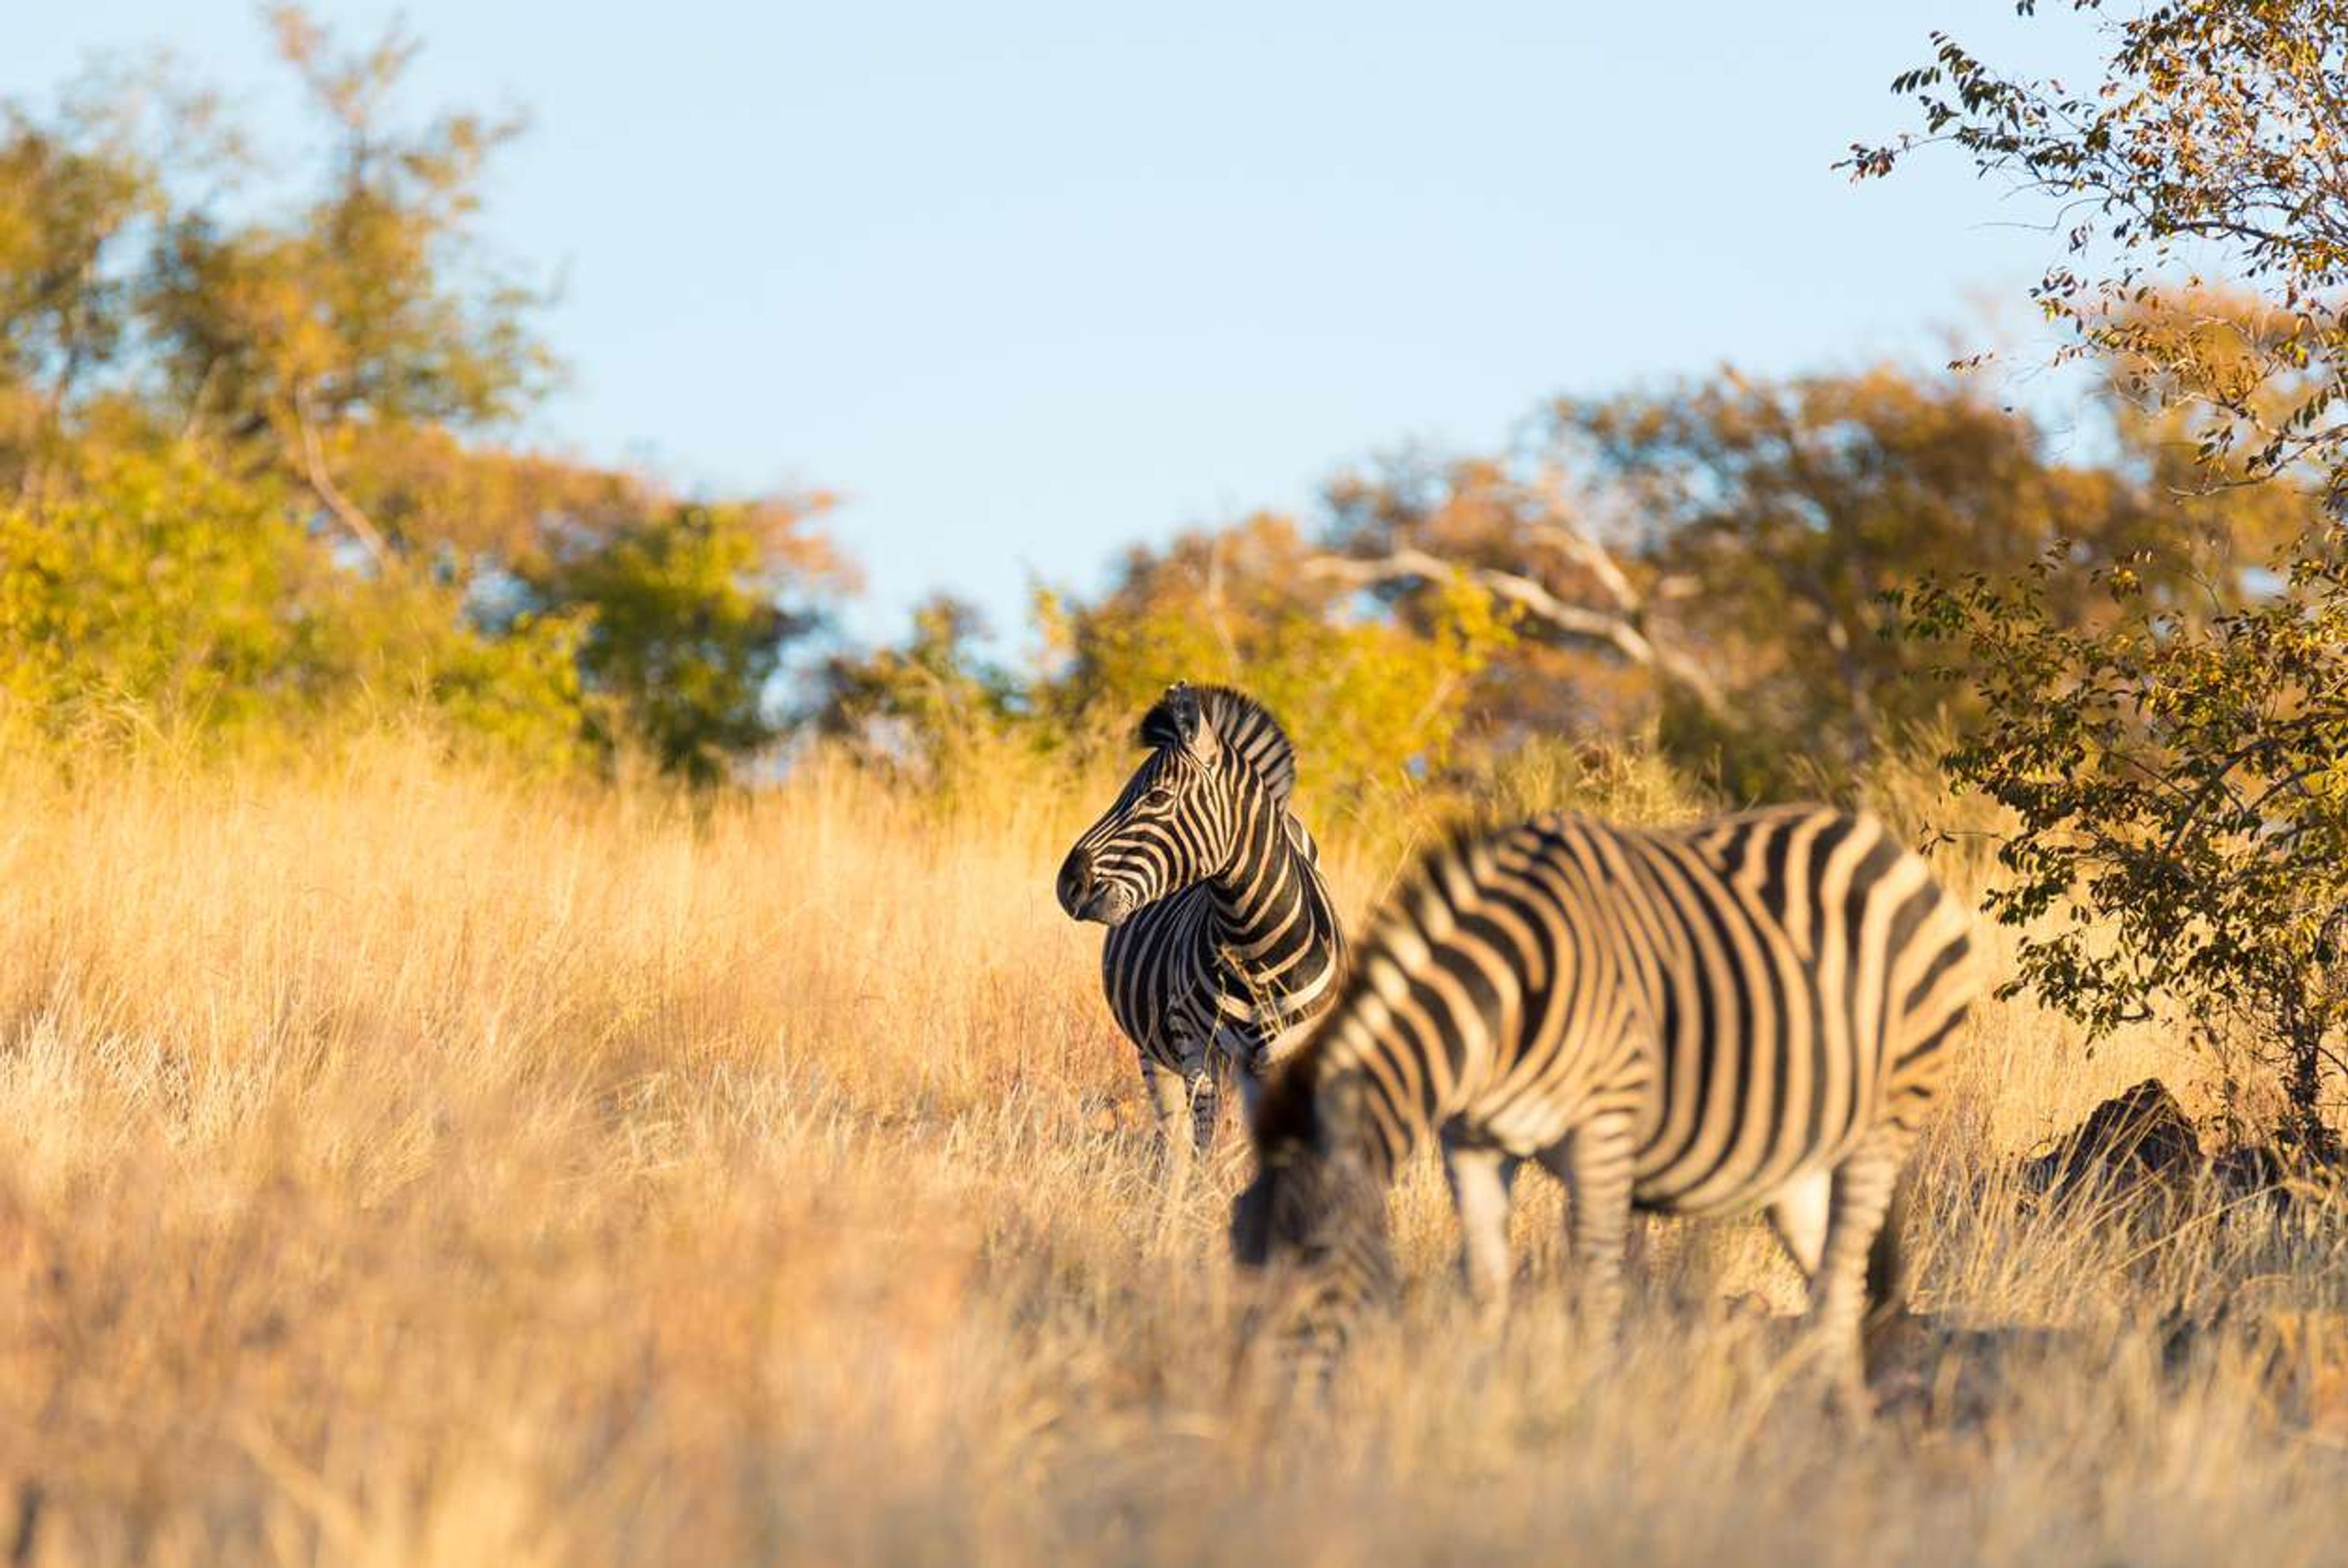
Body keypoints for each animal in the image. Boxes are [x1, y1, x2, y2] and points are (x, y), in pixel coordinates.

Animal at [1057, 680, 1352, 1183]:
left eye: (1157, 798)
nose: (1067, 884)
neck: (1255, 942)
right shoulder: (1197, 1048)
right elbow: (1203, 1152)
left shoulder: (1295, 1056)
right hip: (1155, 1054)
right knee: (1174, 1145)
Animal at [1230, 803, 1981, 1389]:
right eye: (1237, 1248)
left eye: (1316, 1257)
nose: (1257, 1414)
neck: (1504, 1000)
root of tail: (1880, 842)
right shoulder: (1470, 1142)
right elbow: (1485, 1285)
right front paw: (1478, 1408)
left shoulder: (1604, 1129)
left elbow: (1594, 1286)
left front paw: (1582, 1416)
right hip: (1802, 1154)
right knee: (1836, 1279)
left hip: (1888, 1116)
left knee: (1844, 1274)